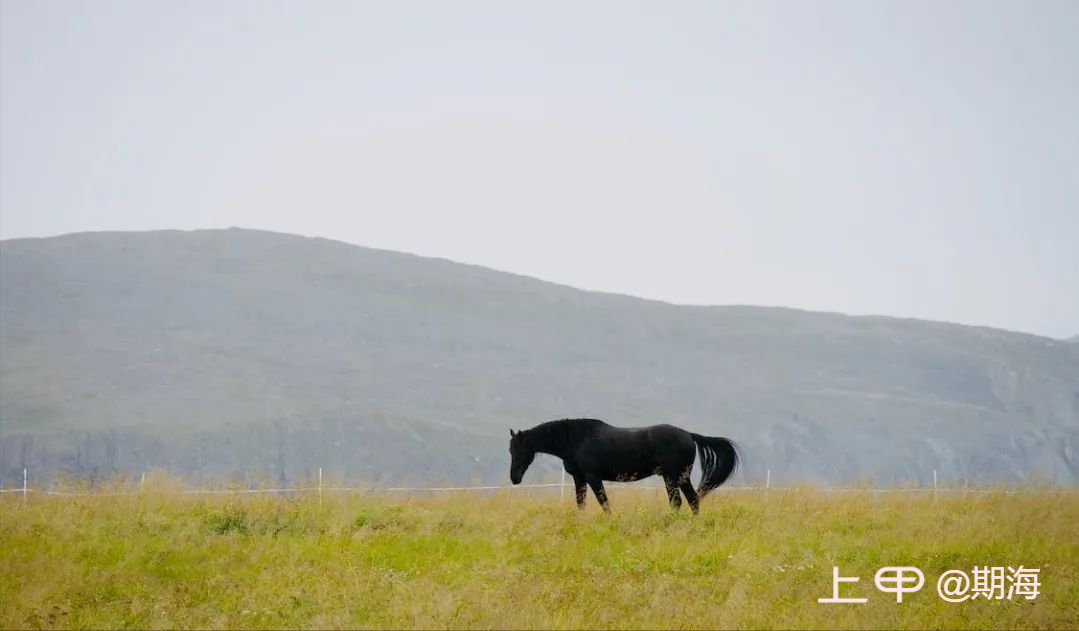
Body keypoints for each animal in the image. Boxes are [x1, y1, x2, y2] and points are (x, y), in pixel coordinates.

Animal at [509, 418, 738, 511]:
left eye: (519, 450)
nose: (514, 478)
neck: (575, 440)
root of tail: (690, 435)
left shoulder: (592, 477)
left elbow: (604, 503)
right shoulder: (579, 479)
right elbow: (581, 504)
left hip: (673, 477)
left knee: (680, 502)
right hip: (678, 477)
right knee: (691, 501)